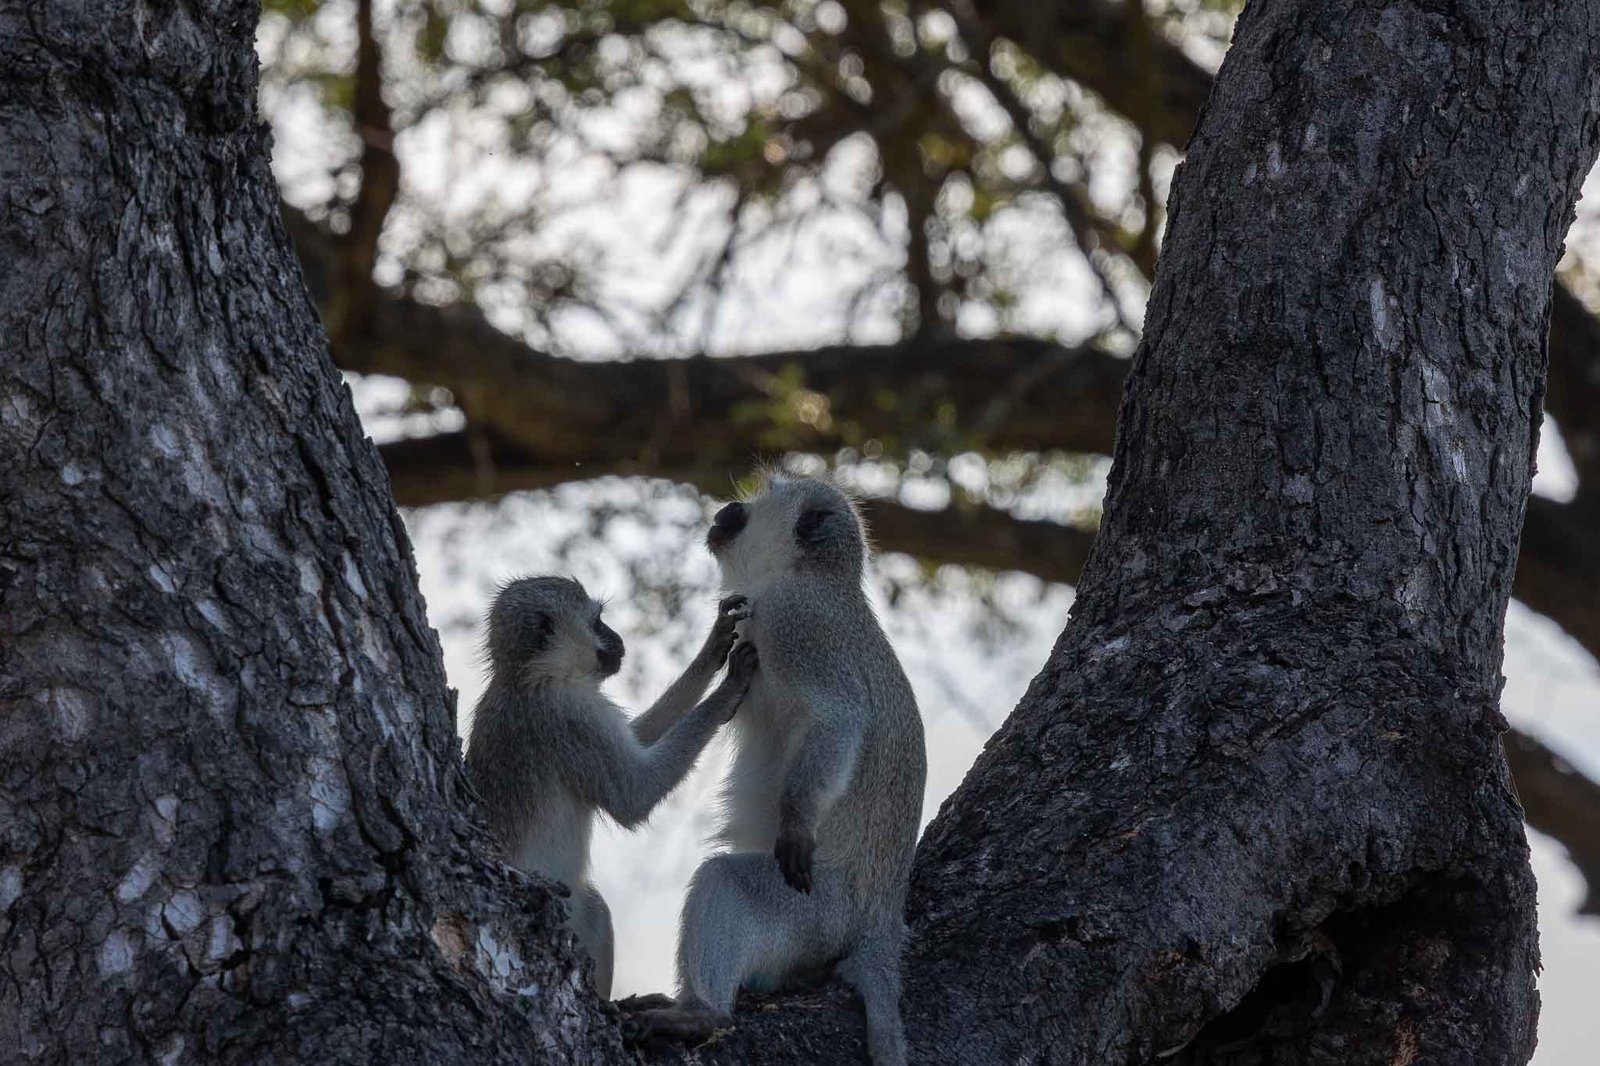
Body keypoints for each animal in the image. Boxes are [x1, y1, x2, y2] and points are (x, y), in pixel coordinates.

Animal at [464, 575, 758, 999]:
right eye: (597, 622)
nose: (618, 639)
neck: (529, 676)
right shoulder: (571, 716)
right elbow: (633, 795)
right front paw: (727, 690)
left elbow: (637, 740)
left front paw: (713, 646)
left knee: (595, 909)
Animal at [627, 476, 927, 1066]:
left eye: (762, 496)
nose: (727, 507)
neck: (807, 575)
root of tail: (880, 924)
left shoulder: (795, 621)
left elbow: (837, 716)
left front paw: (794, 820)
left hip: (818, 917)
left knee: (725, 879)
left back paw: (704, 1014)